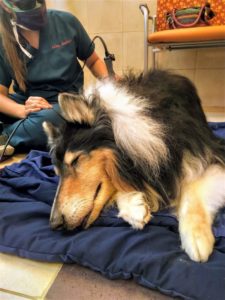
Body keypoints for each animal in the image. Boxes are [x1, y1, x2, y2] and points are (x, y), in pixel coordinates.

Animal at [42, 69, 225, 262]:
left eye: (76, 160)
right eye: (57, 173)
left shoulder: (210, 155)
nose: (54, 224)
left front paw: (196, 238)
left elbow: (191, 193)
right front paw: (134, 206)